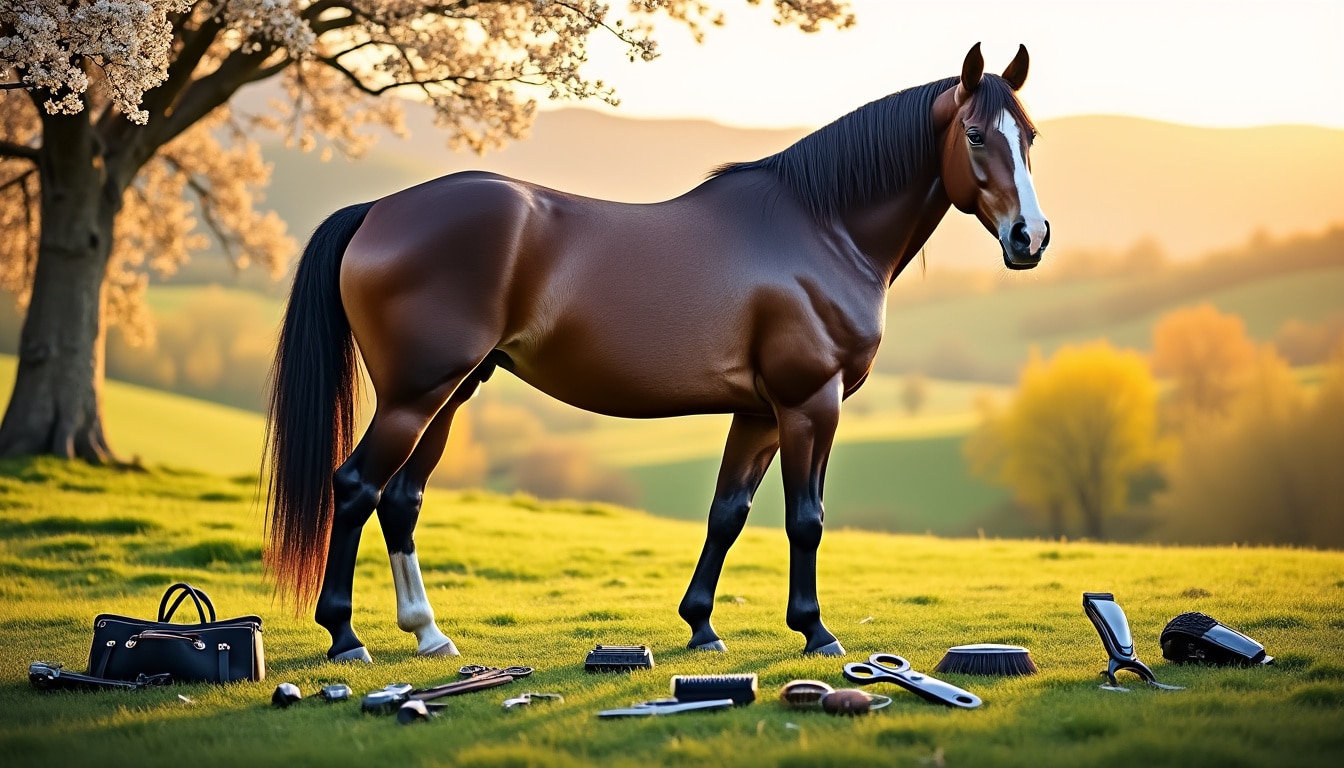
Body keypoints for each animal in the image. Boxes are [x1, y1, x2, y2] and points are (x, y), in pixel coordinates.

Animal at [264, 43, 1050, 662]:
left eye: (1031, 137)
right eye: (975, 135)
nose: (1030, 238)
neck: (821, 228)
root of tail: (377, 211)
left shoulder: (758, 414)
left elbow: (727, 514)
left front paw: (701, 626)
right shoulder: (808, 403)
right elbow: (806, 519)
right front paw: (816, 631)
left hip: (452, 393)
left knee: (402, 498)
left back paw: (428, 633)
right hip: (414, 394)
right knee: (356, 487)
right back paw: (346, 638)